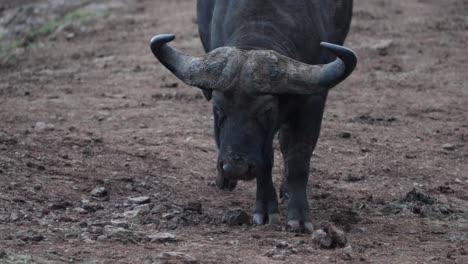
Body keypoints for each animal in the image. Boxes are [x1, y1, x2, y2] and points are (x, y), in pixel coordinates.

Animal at [150, 0, 354, 233]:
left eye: (267, 111)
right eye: (218, 108)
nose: (235, 168)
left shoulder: (312, 101)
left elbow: (298, 156)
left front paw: (299, 217)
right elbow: (266, 158)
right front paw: (265, 208)